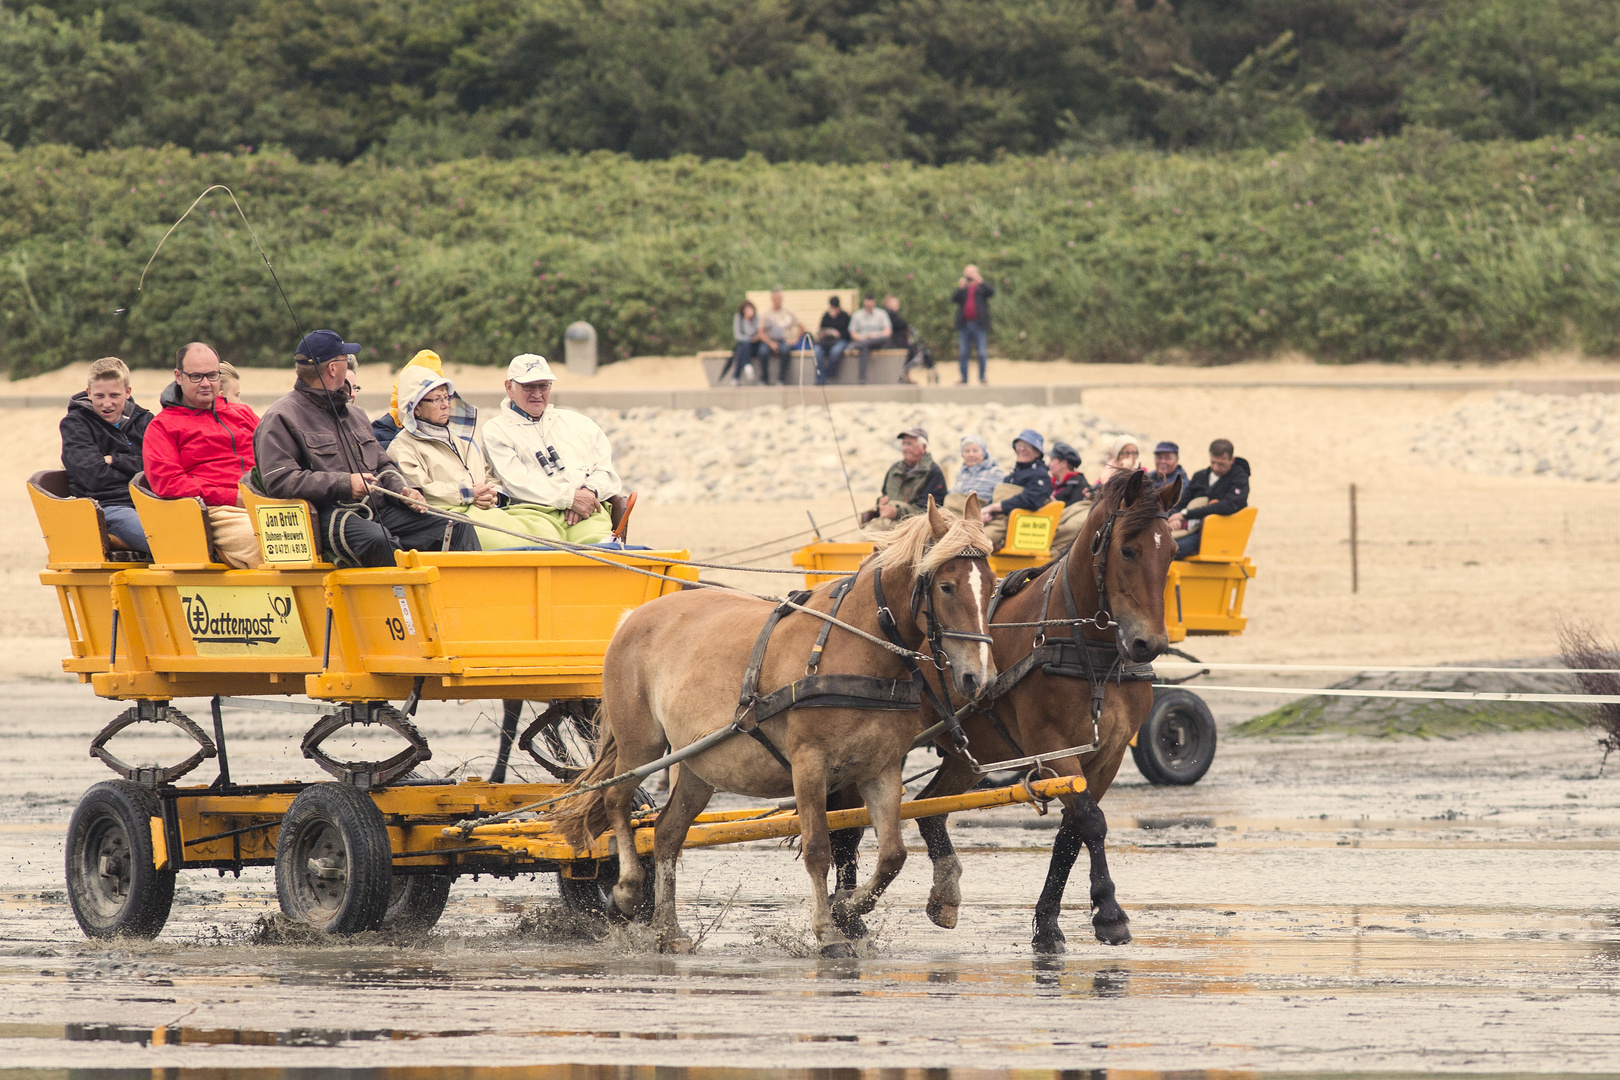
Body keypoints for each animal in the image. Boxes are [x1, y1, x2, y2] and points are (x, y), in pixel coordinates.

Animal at [557, 495, 997, 952]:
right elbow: (819, 849)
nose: (979, 678)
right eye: (946, 586)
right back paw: (627, 886)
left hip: (698, 765)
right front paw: (828, 930)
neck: (855, 648)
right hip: (640, 744)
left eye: (992, 584)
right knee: (616, 798)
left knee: (667, 833)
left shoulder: (882, 769)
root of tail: (631, 617)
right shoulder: (809, 766)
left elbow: (893, 855)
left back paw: (668, 928)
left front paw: (849, 907)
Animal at [835, 472, 1179, 952]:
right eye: (1128, 549)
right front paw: (1108, 912)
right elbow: (1091, 822)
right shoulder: (1053, 747)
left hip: (968, 751)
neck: (1082, 645)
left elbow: (1071, 833)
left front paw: (1048, 923)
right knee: (846, 828)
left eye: (1173, 551)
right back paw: (846, 918)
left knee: (929, 809)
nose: (1150, 643)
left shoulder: (1106, 756)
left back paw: (941, 893)